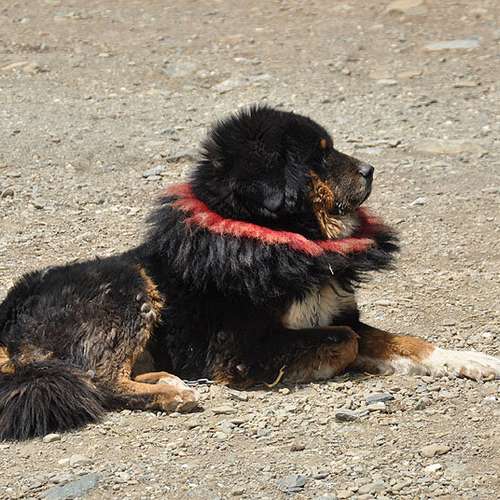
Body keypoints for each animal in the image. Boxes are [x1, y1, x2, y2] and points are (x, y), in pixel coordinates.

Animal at [1, 105, 499, 440]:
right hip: (126, 286)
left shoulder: (340, 314)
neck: (278, 237)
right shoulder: (237, 349)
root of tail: (9, 315)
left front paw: (470, 359)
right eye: (319, 157)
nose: (370, 169)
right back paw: (171, 394)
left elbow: (404, 341)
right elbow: (346, 341)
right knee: (96, 379)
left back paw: (165, 381)